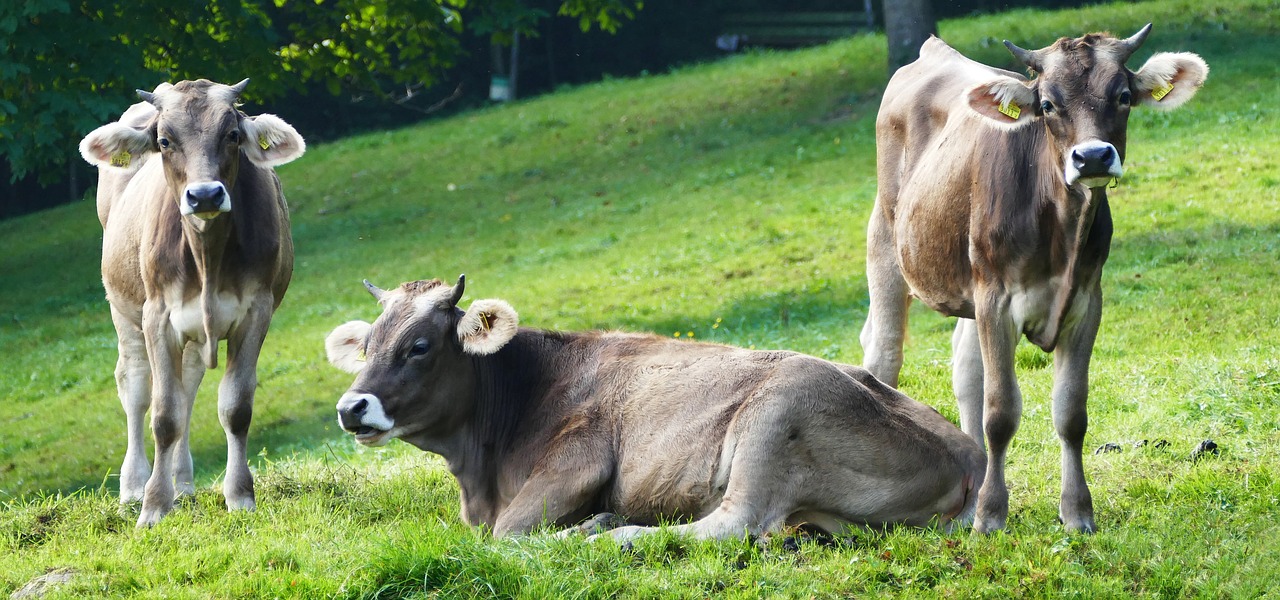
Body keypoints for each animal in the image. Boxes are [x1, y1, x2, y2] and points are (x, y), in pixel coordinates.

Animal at [78, 78, 305, 524]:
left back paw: (182, 485)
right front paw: (153, 507)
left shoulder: (256, 312)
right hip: (123, 310)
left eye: (232, 135)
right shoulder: (158, 317)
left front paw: (240, 496)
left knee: (188, 387)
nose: (204, 196)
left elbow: (235, 407)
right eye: (164, 141)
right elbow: (164, 415)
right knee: (136, 387)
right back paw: (133, 488)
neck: (207, 253)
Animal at [325, 275, 983, 537]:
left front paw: (590, 523)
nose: (352, 407)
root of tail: (968, 456)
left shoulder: (577, 463)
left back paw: (613, 533)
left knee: (731, 525)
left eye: (419, 346)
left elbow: (507, 535)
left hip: (774, 417)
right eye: (369, 344)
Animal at [860, 24, 1208, 532]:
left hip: (970, 284)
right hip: (887, 243)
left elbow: (1071, 412)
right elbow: (1002, 411)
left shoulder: (1085, 303)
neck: (1061, 233)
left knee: (966, 368)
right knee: (884, 354)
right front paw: (991, 516)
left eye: (1123, 95)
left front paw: (1077, 511)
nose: (1093, 157)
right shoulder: (997, 300)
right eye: (1046, 104)